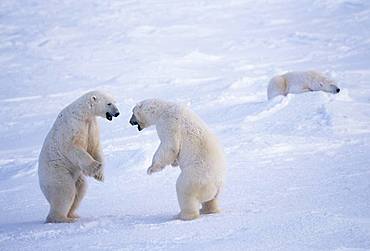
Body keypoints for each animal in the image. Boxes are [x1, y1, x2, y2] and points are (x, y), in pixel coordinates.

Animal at [37, 90, 119, 224]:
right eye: (109, 103)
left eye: (114, 101)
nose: (117, 113)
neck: (82, 113)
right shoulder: (73, 126)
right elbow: (73, 148)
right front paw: (96, 166)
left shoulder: (91, 125)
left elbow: (94, 147)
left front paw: (100, 175)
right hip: (57, 173)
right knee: (65, 191)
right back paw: (63, 218)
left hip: (76, 177)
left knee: (81, 189)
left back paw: (73, 215)